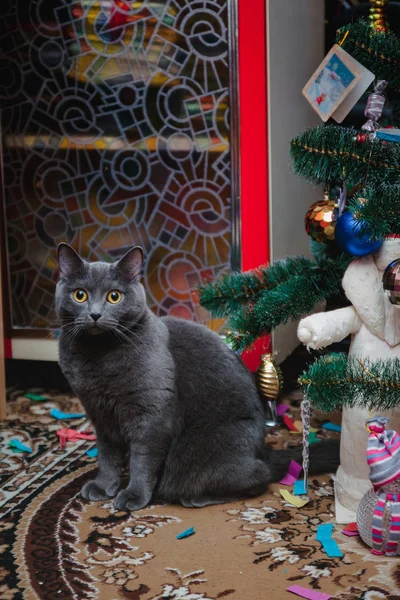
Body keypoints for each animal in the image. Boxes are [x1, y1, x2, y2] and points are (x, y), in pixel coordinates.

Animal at [55, 244, 338, 510]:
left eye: (114, 296)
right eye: (80, 295)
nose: (94, 314)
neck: (98, 356)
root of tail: (262, 450)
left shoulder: (152, 417)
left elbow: (142, 461)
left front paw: (134, 495)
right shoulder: (100, 414)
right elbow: (108, 456)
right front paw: (103, 487)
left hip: (211, 450)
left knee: (259, 477)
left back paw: (195, 498)